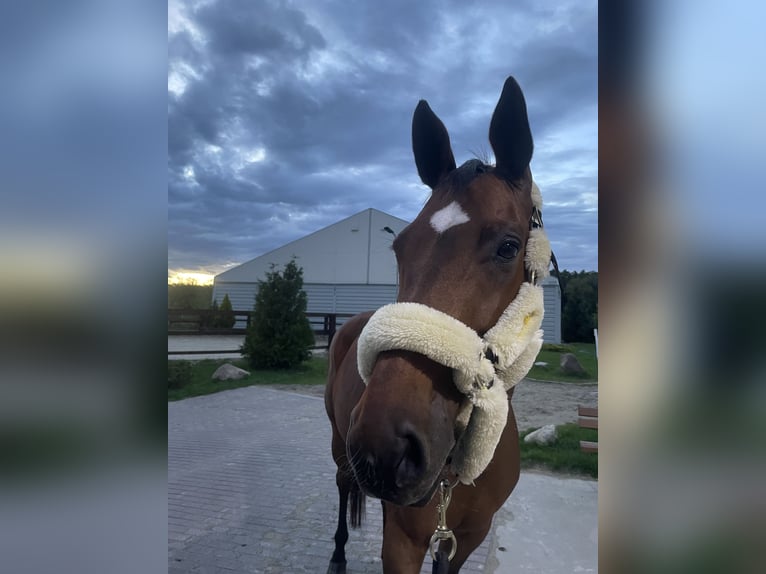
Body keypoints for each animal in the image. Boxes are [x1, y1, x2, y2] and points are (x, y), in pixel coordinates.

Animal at [324, 76, 550, 573]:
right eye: (400, 247)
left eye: (509, 247)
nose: (386, 446)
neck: (455, 477)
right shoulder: (402, 543)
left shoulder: (465, 538)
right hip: (338, 443)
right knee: (342, 484)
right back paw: (338, 555)